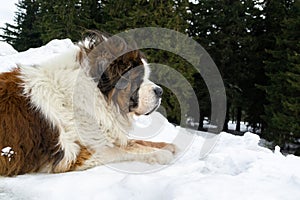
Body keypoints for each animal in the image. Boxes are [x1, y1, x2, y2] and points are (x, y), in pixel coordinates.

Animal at [0, 30, 177, 176]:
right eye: (138, 78)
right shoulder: (77, 155)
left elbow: (132, 142)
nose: (160, 91)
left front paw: (167, 145)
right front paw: (161, 153)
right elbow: (123, 150)